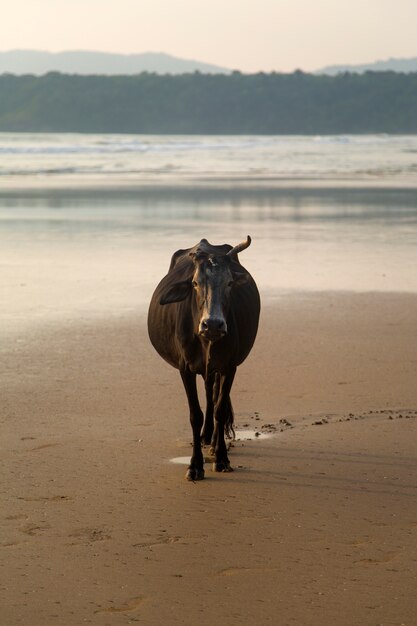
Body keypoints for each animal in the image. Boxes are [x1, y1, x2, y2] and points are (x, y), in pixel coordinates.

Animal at [147, 235, 260, 478]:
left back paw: (213, 441)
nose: (213, 324)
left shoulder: (229, 367)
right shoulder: (185, 369)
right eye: (195, 283)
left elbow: (220, 409)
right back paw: (206, 437)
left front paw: (221, 458)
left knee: (214, 396)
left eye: (229, 283)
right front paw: (195, 465)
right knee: (208, 393)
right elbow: (195, 415)